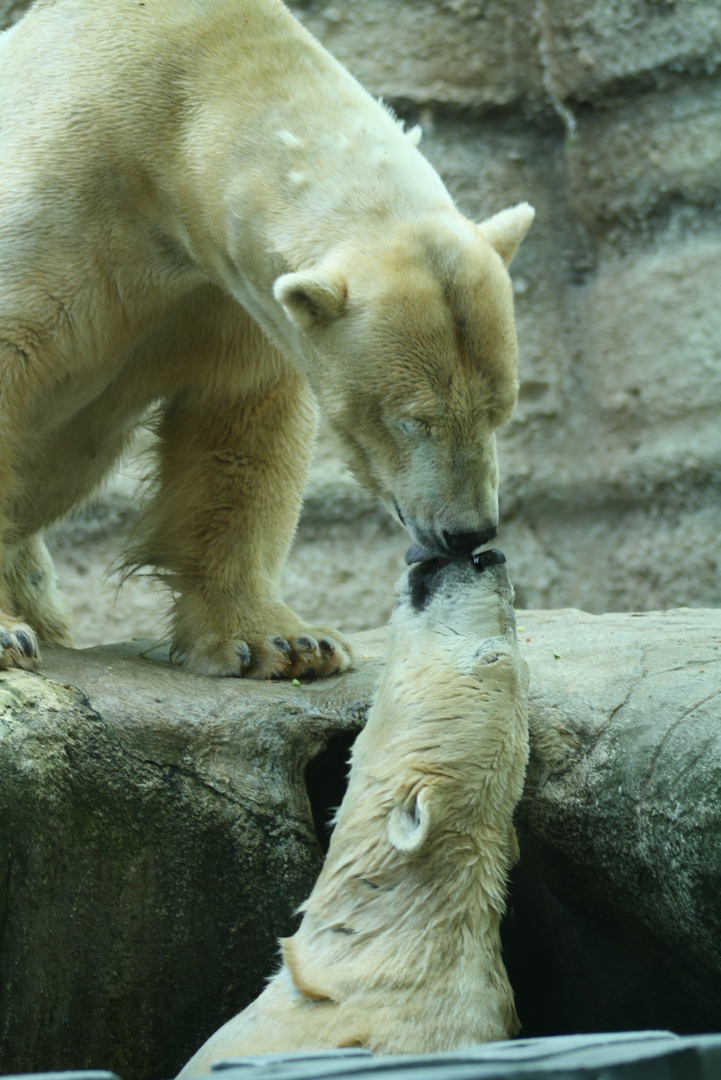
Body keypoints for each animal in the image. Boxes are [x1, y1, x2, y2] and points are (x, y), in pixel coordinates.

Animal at [0, 0, 533, 673]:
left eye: (500, 411)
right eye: (412, 419)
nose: (468, 533)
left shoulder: (226, 298)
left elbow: (239, 433)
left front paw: (286, 643)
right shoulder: (66, 214)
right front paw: (4, 636)